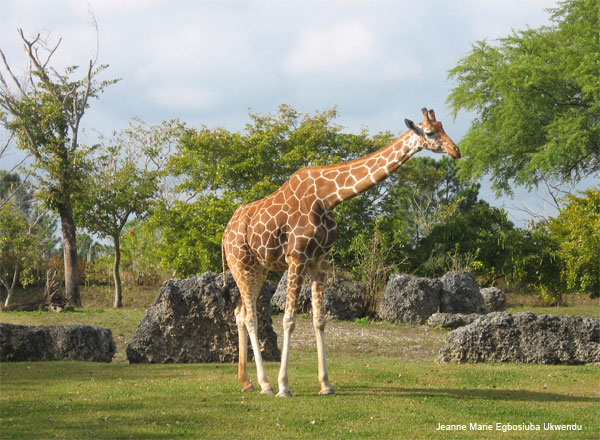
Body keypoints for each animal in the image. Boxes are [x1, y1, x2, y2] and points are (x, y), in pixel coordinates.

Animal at [220, 108, 460, 398]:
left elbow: (319, 319)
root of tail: (224, 234)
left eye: (443, 127)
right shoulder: (296, 258)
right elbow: (289, 320)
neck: (327, 199)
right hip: (241, 264)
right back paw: (265, 384)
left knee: (239, 312)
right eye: (430, 132)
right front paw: (284, 386)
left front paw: (325, 384)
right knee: (251, 316)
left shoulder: (320, 258)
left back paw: (246, 381)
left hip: (259, 268)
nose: (456, 150)